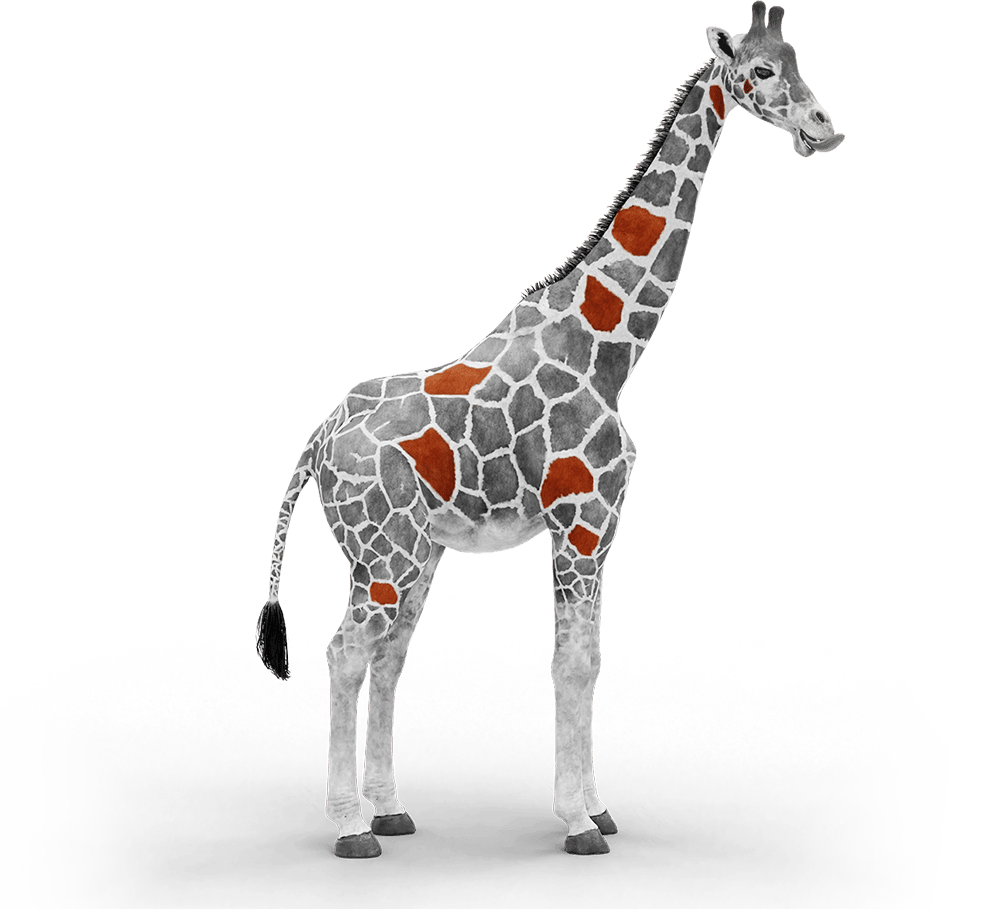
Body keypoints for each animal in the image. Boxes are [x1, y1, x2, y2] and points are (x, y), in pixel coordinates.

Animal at [257, 3, 845, 858]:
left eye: (799, 59)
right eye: (761, 70)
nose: (824, 127)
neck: (607, 350)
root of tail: (316, 444)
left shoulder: (605, 529)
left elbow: (592, 658)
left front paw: (598, 804)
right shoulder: (579, 519)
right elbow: (567, 663)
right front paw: (574, 819)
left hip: (413, 550)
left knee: (388, 655)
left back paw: (390, 807)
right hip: (383, 547)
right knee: (345, 651)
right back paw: (350, 825)